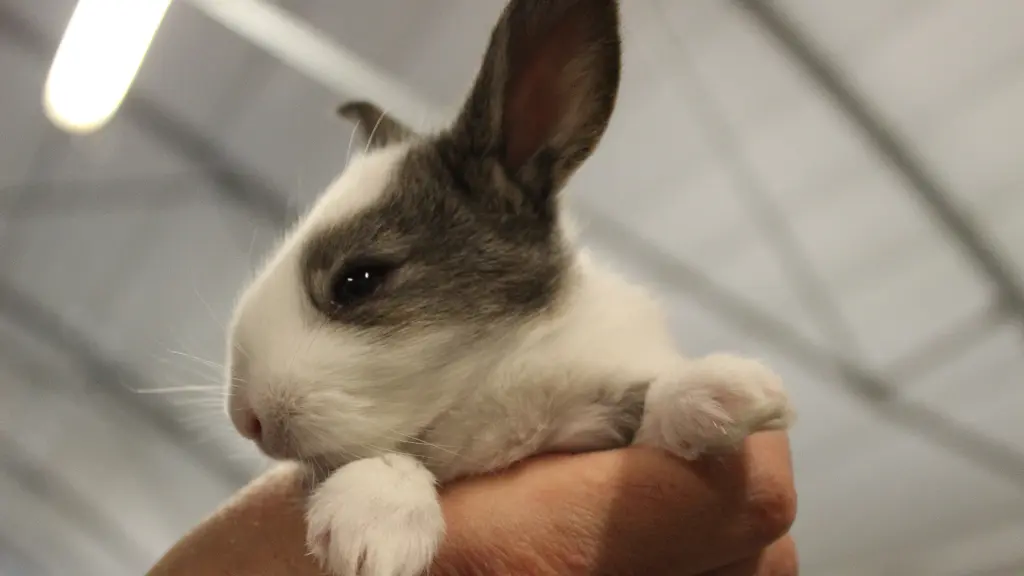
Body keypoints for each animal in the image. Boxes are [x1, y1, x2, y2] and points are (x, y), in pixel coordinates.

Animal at [223, 0, 795, 575]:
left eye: (358, 281)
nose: (246, 419)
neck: (496, 377)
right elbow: (388, 459)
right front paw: (371, 532)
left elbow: (651, 404)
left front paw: (723, 394)